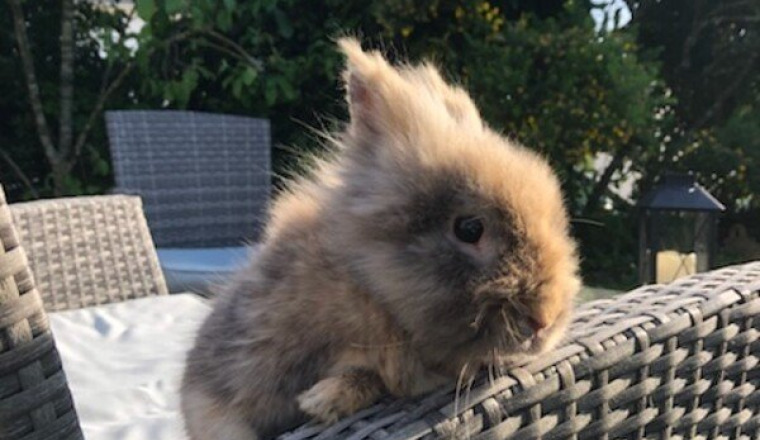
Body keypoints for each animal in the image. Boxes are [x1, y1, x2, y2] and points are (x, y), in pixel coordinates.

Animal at [180, 37, 581, 440]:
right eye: (469, 229)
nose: (545, 320)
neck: (372, 293)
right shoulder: (215, 391)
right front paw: (319, 401)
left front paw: (320, 401)